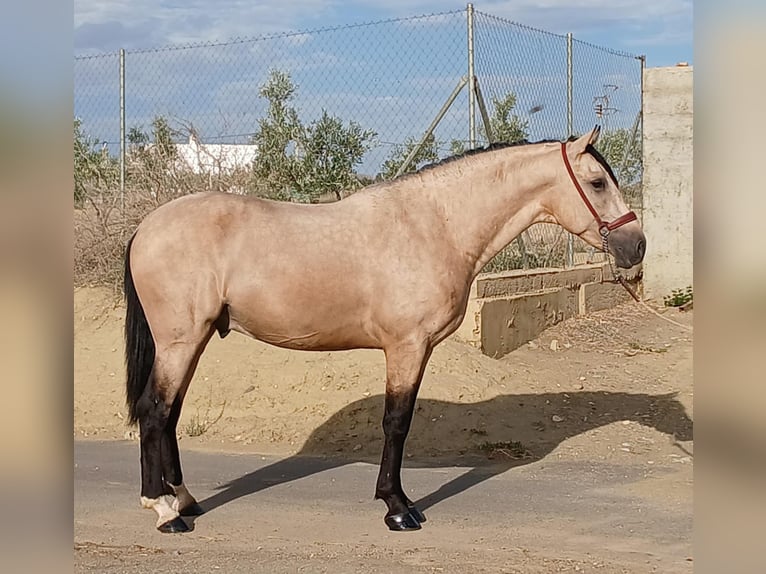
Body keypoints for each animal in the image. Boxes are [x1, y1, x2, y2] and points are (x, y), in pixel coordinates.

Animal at [123, 126, 644, 536]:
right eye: (597, 182)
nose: (636, 246)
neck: (434, 225)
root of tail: (146, 227)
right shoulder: (405, 347)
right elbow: (397, 422)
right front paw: (398, 508)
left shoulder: (419, 349)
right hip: (180, 341)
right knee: (154, 412)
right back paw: (165, 511)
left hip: (194, 340)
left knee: (170, 414)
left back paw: (185, 499)